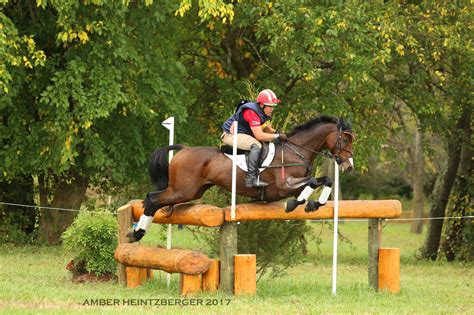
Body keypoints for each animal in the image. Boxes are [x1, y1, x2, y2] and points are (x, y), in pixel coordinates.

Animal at [128, 116, 354, 242]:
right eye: (345, 139)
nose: (349, 166)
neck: (296, 150)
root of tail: (184, 149)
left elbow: (326, 180)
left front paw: (315, 204)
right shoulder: (283, 186)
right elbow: (312, 182)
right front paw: (295, 204)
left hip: (190, 191)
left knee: (155, 201)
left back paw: (136, 232)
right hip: (182, 190)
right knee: (152, 199)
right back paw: (137, 234)